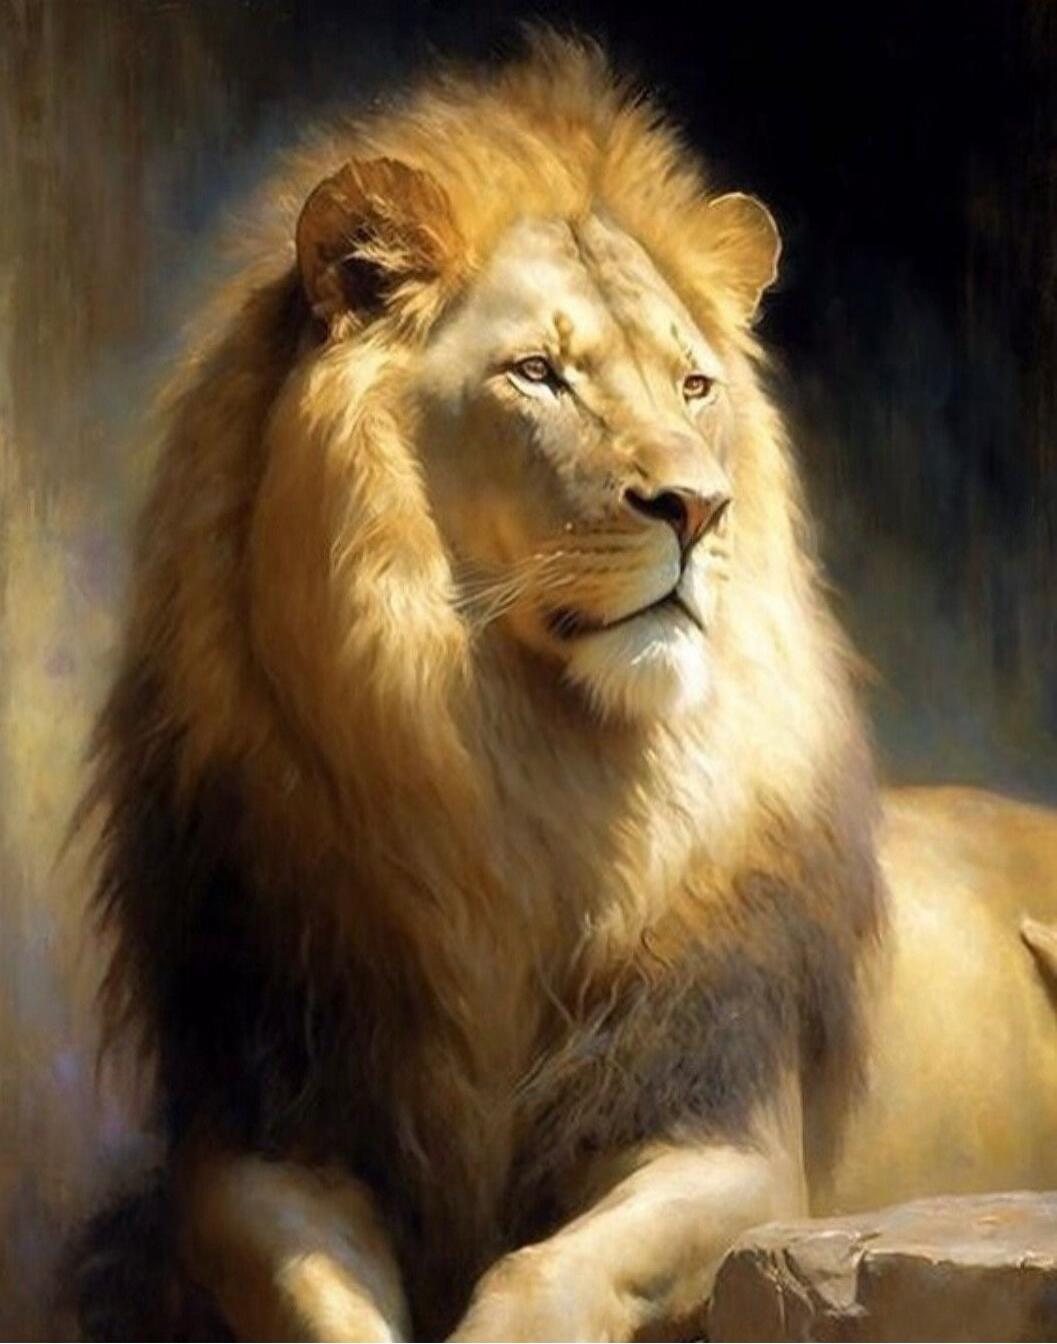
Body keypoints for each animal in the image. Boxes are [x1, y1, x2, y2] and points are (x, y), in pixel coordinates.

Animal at [80, 31, 1057, 1343]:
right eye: (538, 373)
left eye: (694, 387)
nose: (699, 507)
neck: (516, 779)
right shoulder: (259, 1134)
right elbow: (314, 1289)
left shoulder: (729, 1145)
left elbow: (539, 1273)